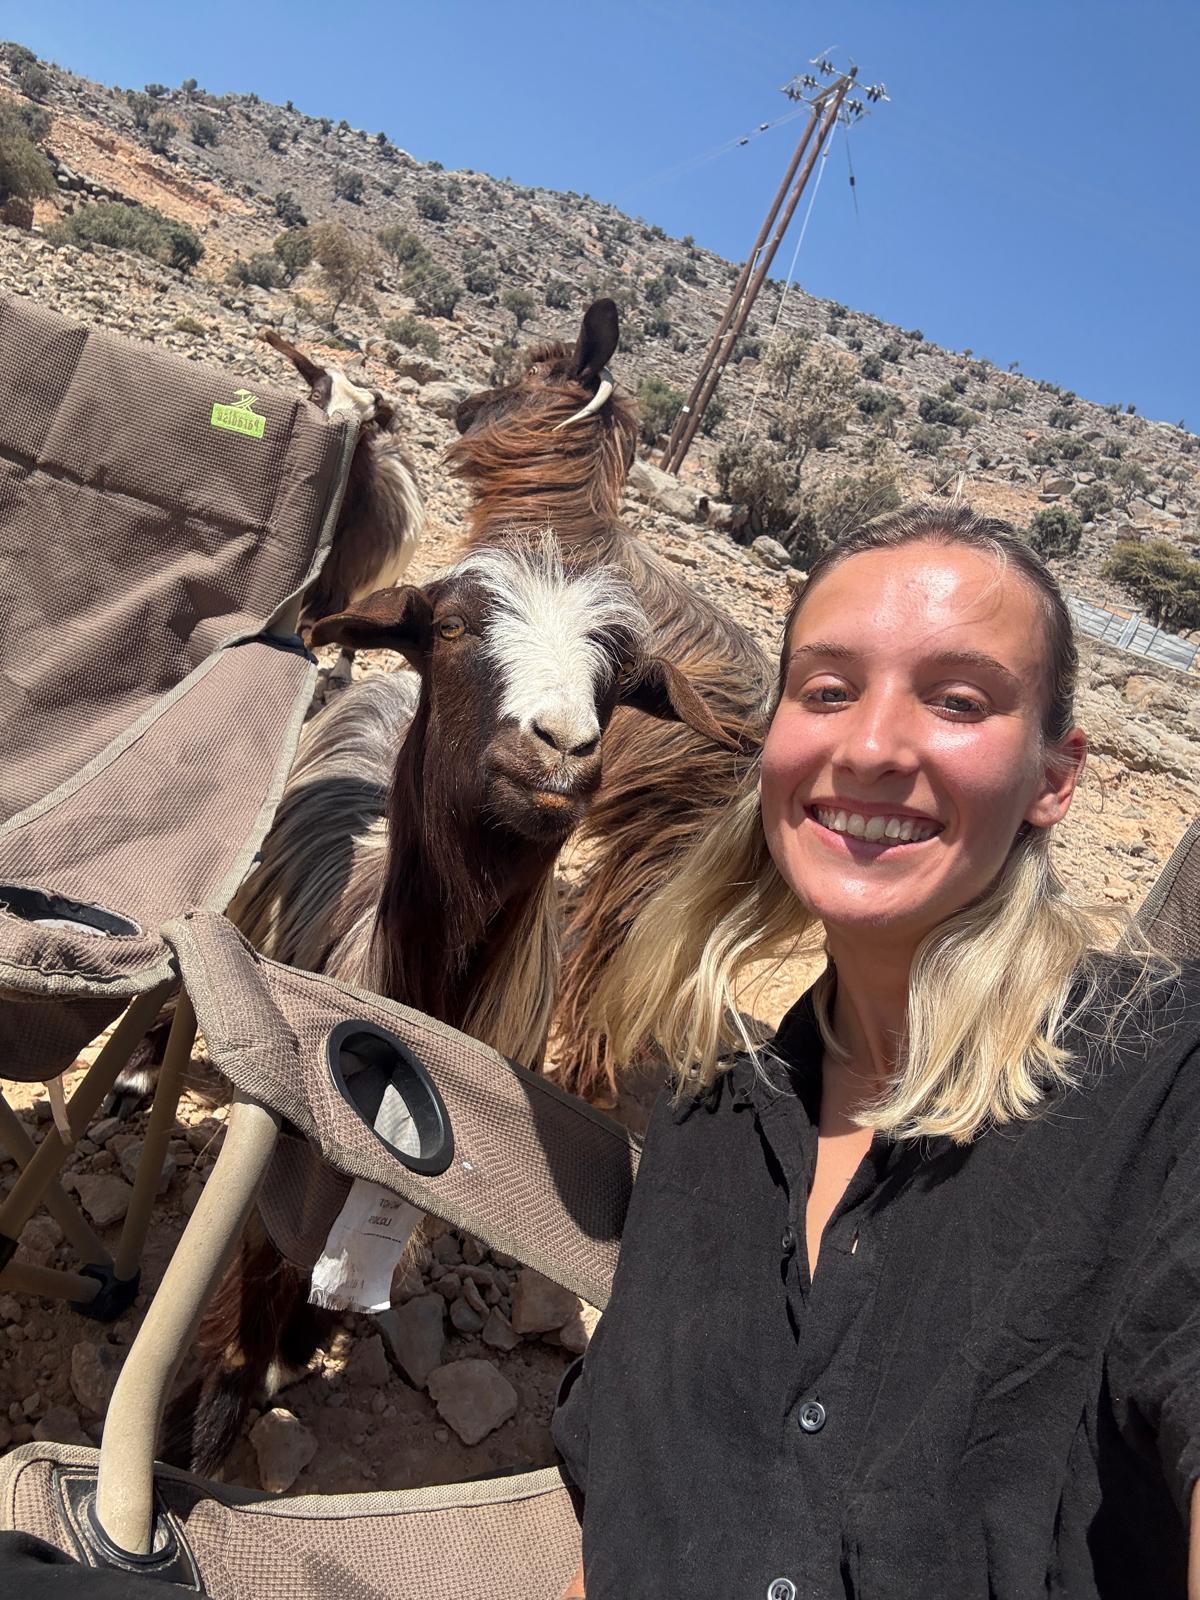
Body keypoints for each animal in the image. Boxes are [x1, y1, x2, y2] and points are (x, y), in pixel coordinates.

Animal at [164, 537, 732, 1473]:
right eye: (455, 626)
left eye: (620, 674)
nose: (562, 749)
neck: (420, 1009)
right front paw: (210, 1410)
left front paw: (293, 1345)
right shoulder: (289, 1120)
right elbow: (261, 1251)